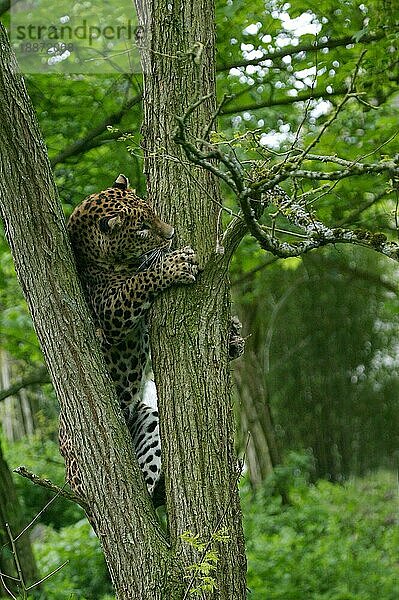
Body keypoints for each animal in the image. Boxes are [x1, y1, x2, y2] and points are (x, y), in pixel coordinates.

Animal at [65, 173, 200, 502]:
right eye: (140, 229)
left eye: (152, 211)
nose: (170, 233)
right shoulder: (110, 312)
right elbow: (140, 280)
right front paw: (175, 264)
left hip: (148, 419)